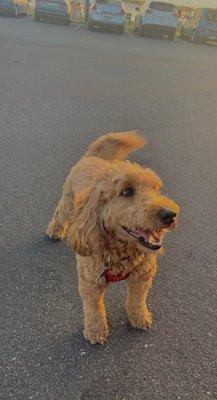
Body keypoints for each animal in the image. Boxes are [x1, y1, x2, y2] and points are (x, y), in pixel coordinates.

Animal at [47, 131, 180, 344]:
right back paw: (54, 231)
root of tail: (91, 157)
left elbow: (137, 300)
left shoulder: (142, 277)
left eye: (155, 189)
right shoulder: (91, 283)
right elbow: (94, 310)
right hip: (68, 199)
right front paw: (96, 331)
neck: (122, 252)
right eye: (126, 191)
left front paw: (139, 318)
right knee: (60, 212)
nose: (170, 215)